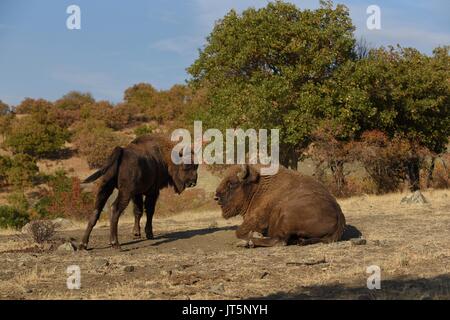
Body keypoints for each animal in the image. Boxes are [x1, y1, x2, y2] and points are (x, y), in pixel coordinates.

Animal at [214, 165, 344, 248]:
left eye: (231, 183)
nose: (216, 197)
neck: (258, 187)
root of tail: (339, 215)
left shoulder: (256, 219)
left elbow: (239, 231)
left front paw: (253, 235)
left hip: (285, 214)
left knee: (280, 240)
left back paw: (248, 242)